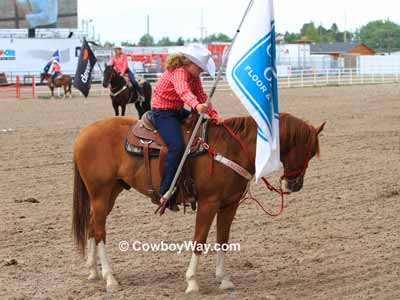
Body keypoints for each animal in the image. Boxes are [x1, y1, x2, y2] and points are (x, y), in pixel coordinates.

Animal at [72, 113, 324, 294]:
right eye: (307, 151)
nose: (295, 185)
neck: (232, 149)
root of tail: (84, 133)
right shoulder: (208, 203)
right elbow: (199, 240)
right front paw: (192, 282)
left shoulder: (229, 204)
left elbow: (223, 240)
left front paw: (225, 280)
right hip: (100, 192)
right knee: (100, 231)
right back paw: (110, 279)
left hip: (110, 192)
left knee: (93, 225)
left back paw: (93, 271)